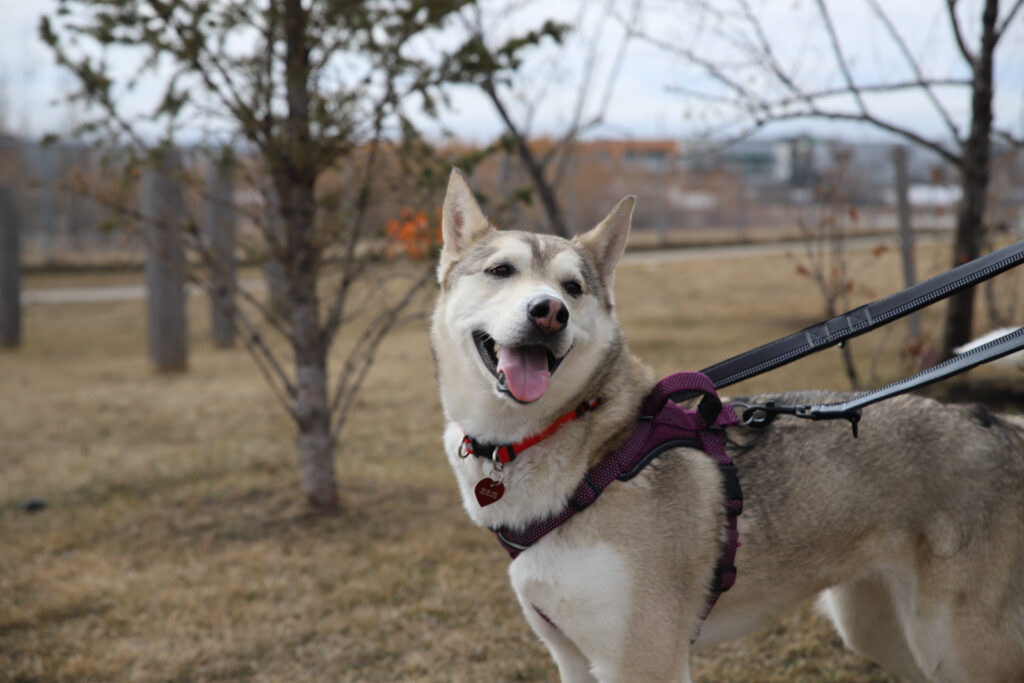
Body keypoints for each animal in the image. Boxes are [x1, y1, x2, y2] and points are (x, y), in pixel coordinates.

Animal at [428, 166, 1024, 683]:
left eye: (573, 288)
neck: (591, 447)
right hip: (880, 630)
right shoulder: (572, 659)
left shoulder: (645, 663)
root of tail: (1000, 423)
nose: (550, 312)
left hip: (961, 648)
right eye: (500, 271)